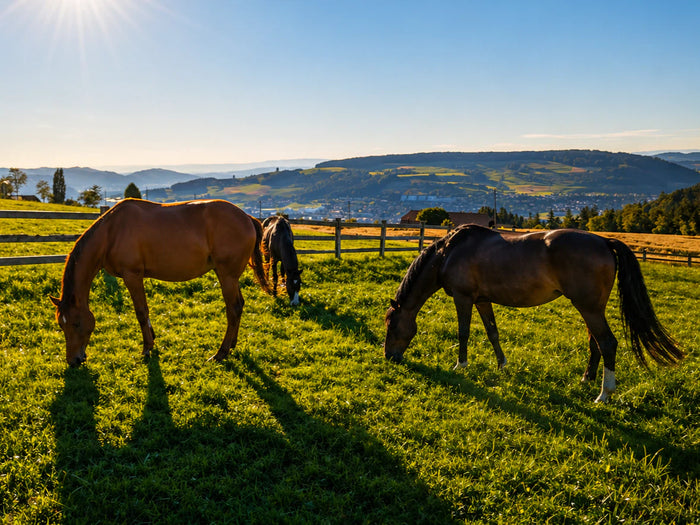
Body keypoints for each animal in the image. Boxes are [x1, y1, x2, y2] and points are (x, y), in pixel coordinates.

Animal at [50, 198, 273, 367]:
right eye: (61, 325)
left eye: (76, 323)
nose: (73, 361)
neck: (111, 232)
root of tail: (247, 217)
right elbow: (145, 313)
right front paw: (152, 338)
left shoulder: (133, 276)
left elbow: (141, 312)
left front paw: (147, 348)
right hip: (230, 277)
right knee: (239, 306)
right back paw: (232, 344)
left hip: (227, 277)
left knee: (233, 309)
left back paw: (221, 353)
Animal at [383, 224, 684, 402]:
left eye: (391, 325)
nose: (390, 357)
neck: (449, 252)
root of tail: (603, 241)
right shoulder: (482, 300)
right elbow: (492, 332)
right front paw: (502, 365)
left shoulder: (463, 298)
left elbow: (464, 332)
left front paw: (461, 365)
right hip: (592, 309)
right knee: (596, 343)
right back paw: (586, 379)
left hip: (588, 308)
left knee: (607, 343)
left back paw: (604, 394)